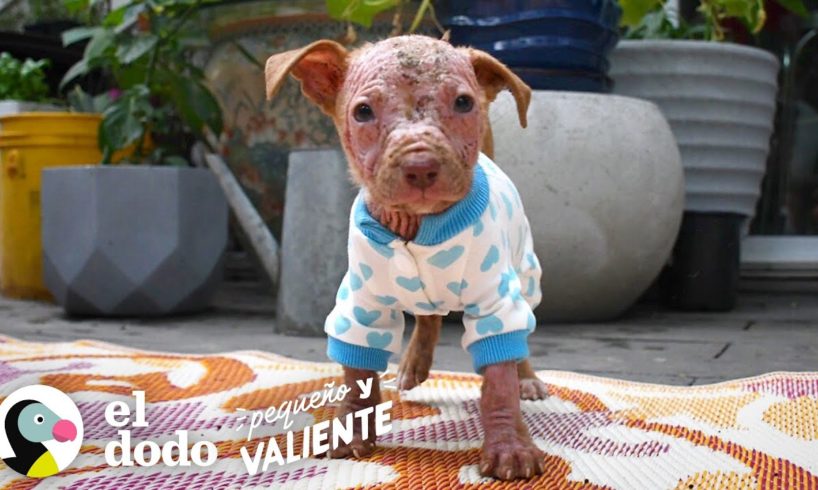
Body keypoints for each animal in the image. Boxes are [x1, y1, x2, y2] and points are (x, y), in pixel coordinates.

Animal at [268, 35, 548, 482]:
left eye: (464, 103)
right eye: (363, 112)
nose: (420, 165)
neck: (417, 225)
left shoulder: (496, 302)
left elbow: (499, 378)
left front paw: (509, 444)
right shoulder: (360, 306)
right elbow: (357, 374)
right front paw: (351, 431)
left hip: (525, 275)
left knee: (518, 340)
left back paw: (528, 379)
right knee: (429, 316)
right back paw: (414, 363)